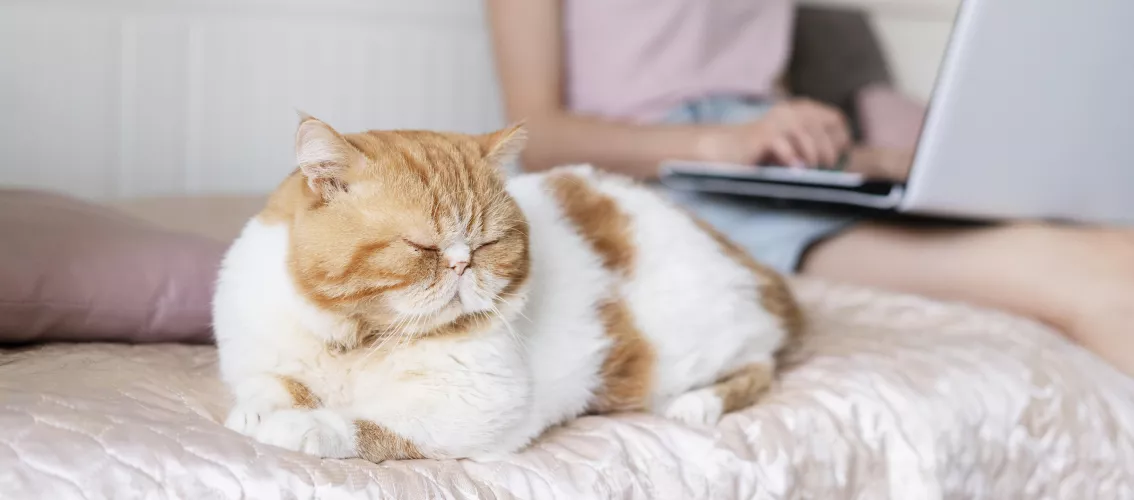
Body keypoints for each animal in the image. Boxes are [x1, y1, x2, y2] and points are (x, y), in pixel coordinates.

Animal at [210, 116, 798, 460]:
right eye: (422, 247)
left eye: (488, 243)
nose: (460, 263)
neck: (358, 337)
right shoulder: (261, 353)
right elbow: (272, 382)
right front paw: (259, 410)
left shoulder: (478, 406)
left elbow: (368, 424)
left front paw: (302, 428)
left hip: (694, 351)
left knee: (759, 365)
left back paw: (695, 404)